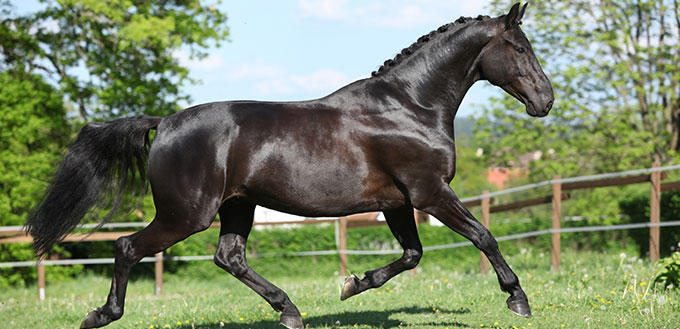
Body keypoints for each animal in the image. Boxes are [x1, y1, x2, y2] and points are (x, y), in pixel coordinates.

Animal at [26, 3, 552, 328]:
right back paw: (100, 315)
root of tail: (165, 122)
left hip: (237, 206)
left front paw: (351, 285)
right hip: (186, 214)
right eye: (520, 48)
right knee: (127, 247)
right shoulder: (431, 192)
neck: (409, 107)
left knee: (229, 258)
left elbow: (411, 255)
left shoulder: (398, 202)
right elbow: (483, 235)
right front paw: (518, 299)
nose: (545, 101)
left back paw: (290, 311)